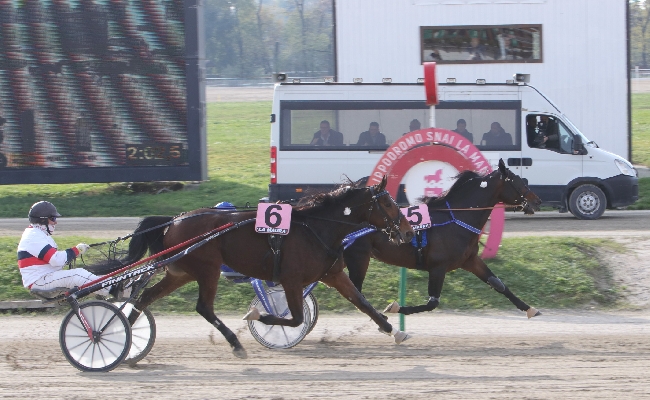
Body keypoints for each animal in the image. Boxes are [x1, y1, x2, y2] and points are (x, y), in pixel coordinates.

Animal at [117, 177, 410, 358]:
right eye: (387, 202)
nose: (407, 230)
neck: (317, 227)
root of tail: (174, 220)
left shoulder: (334, 274)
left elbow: (363, 304)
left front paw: (395, 331)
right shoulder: (291, 280)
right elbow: (295, 318)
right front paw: (260, 316)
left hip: (183, 272)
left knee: (145, 297)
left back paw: (125, 338)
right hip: (207, 269)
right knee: (203, 307)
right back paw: (236, 344)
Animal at [342, 159, 544, 318]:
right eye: (518, 182)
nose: (537, 201)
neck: (456, 218)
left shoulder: (470, 260)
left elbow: (498, 284)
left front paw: (530, 309)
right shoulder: (438, 267)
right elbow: (432, 302)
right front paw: (395, 307)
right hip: (359, 258)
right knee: (356, 292)